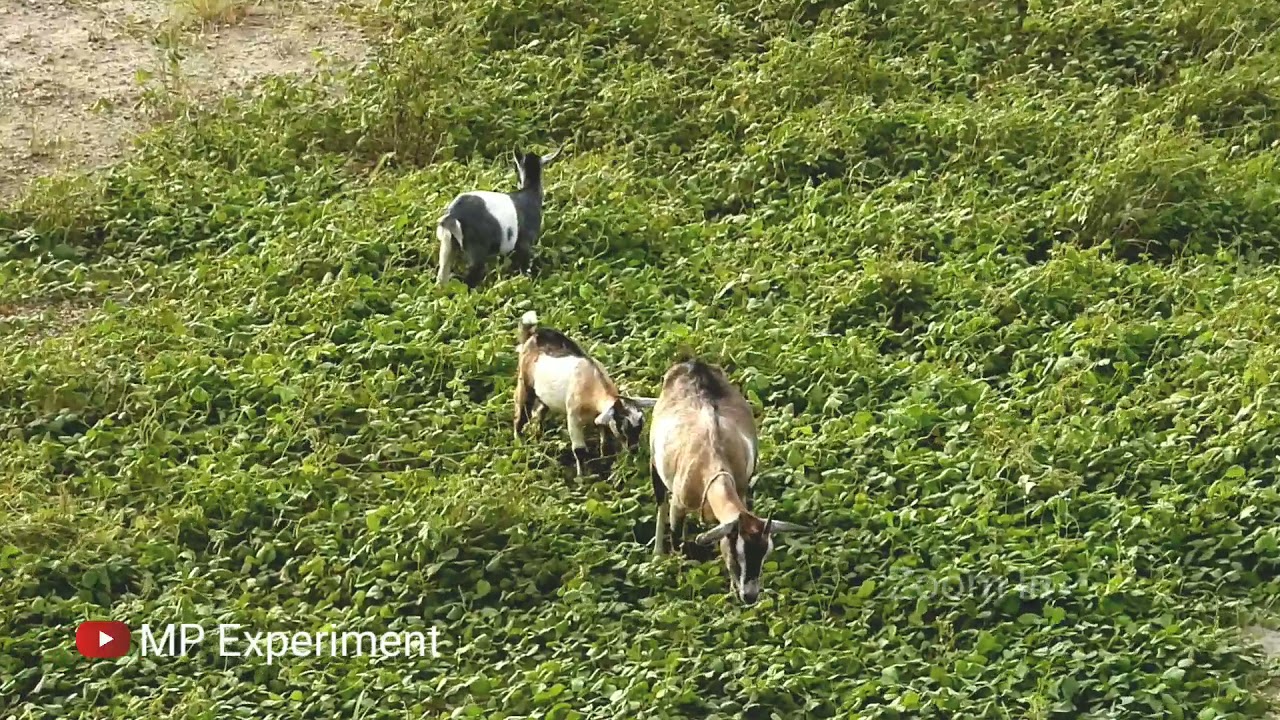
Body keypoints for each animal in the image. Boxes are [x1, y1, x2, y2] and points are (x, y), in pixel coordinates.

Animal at [436, 147, 562, 288]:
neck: (529, 193)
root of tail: (454, 214)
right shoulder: (525, 243)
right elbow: (525, 269)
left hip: (448, 245)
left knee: (442, 277)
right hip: (476, 247)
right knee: (472, 275)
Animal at [514, 311, 656, 476]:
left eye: (640, 426)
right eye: (622, 428)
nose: (634, 450)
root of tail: (534, 333)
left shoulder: (601, 416)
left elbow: (605, 441)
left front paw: (604, 462)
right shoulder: (573, 417)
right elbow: (579, 451)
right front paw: (582, 477)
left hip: (545, 395)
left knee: (539, 412)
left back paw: (538, 437)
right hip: (525, 383)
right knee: (521, 413)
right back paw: (520, 442)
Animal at [649, 357, 810, 605]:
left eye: (766, 553)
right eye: (737, 553)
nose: (750, 596)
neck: (714, 457)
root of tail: (694, 364)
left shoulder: (744, 490)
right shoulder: (679, 504)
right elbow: (677, 543)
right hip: (654, 463)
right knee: (661, 503)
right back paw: (657, 555)